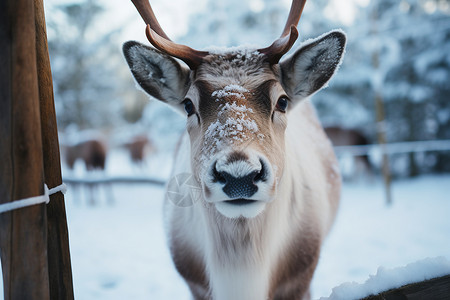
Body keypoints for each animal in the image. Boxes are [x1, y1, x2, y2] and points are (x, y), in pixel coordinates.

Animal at [122, 1, 344, 298]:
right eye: (188, 105)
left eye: (282, 101)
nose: (239, 176)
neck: (243, 278)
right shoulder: (195, 283)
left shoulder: (301, 277)